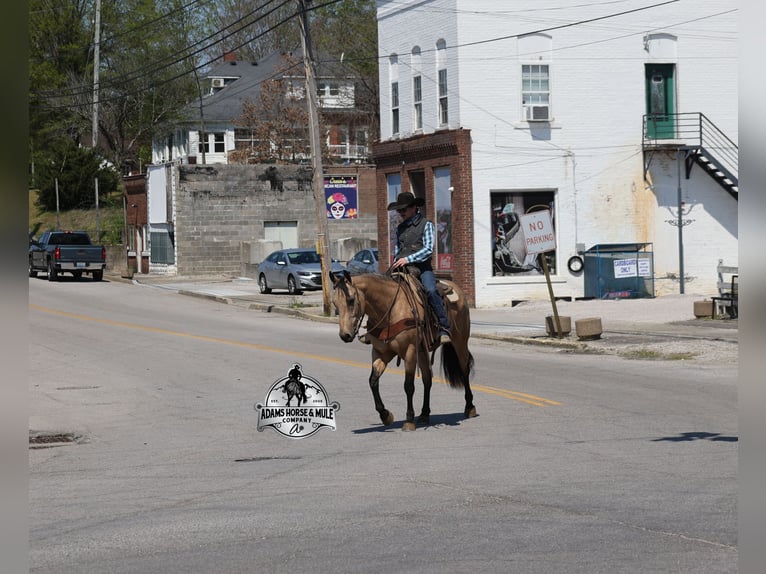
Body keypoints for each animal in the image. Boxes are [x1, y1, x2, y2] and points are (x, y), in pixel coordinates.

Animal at [329, 270, 476, 431]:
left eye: (350, 300)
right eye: (334, 303)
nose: (345, 335)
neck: (389, 310)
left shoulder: (409, 352)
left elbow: (408, 385)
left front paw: (409, 420)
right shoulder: (381, 353)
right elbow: (373, 381)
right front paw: (385, 415)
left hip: (460, 342)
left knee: (464, 371)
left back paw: (470, 407)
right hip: (423, 351)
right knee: (427, 379)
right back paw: (424, 414)